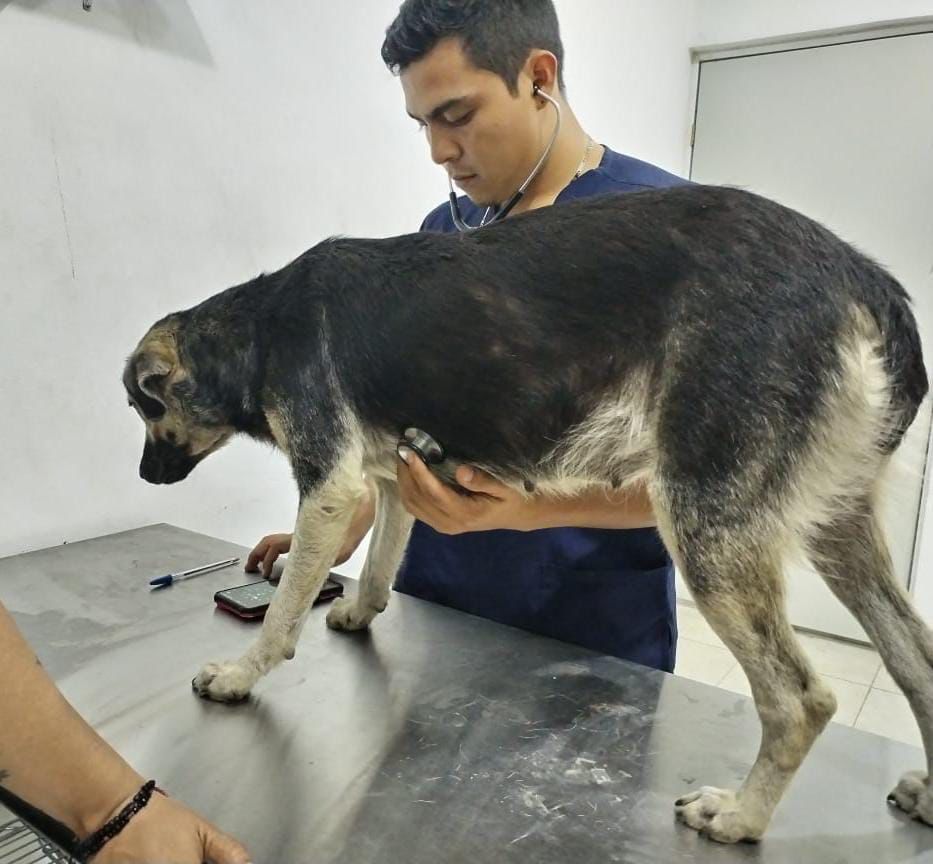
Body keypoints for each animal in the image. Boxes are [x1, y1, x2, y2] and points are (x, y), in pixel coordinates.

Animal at [124, 184, 930, 843]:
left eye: (144, 409)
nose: (141, 475)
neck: (257, 333)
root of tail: (865, 279)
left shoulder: (328, 484)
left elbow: (286, 605)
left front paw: (241, 673)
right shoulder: (387, 479)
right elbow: (380, 559)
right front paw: (357, 609)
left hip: (708, 524)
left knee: (800, 700)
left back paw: (740, 815)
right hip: (837, 526)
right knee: (915, 659)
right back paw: (923, 791)